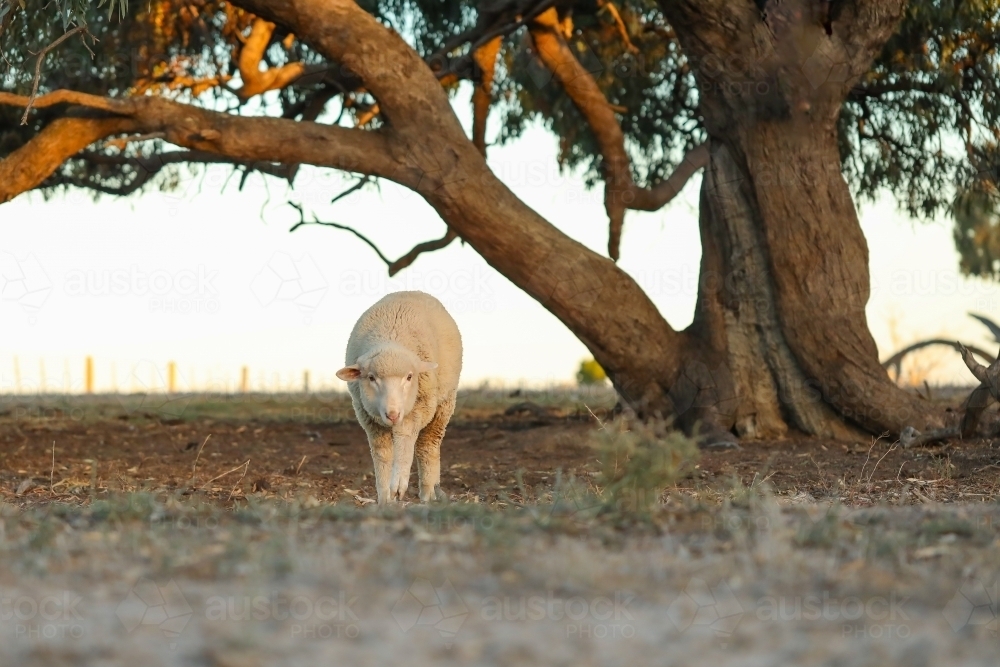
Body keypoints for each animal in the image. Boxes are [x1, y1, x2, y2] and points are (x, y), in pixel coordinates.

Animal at [334, 290, 462, 504]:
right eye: (371, 378)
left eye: (410, 377)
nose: (392, 414)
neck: (390, 340)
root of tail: (412, 290)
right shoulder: (369, 419)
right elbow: (382, 454)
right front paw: (385, 497)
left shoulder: (417, 409)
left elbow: (405, 441)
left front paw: (398, 484)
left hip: (444, 403)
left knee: (428, 445)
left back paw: (429, 491)